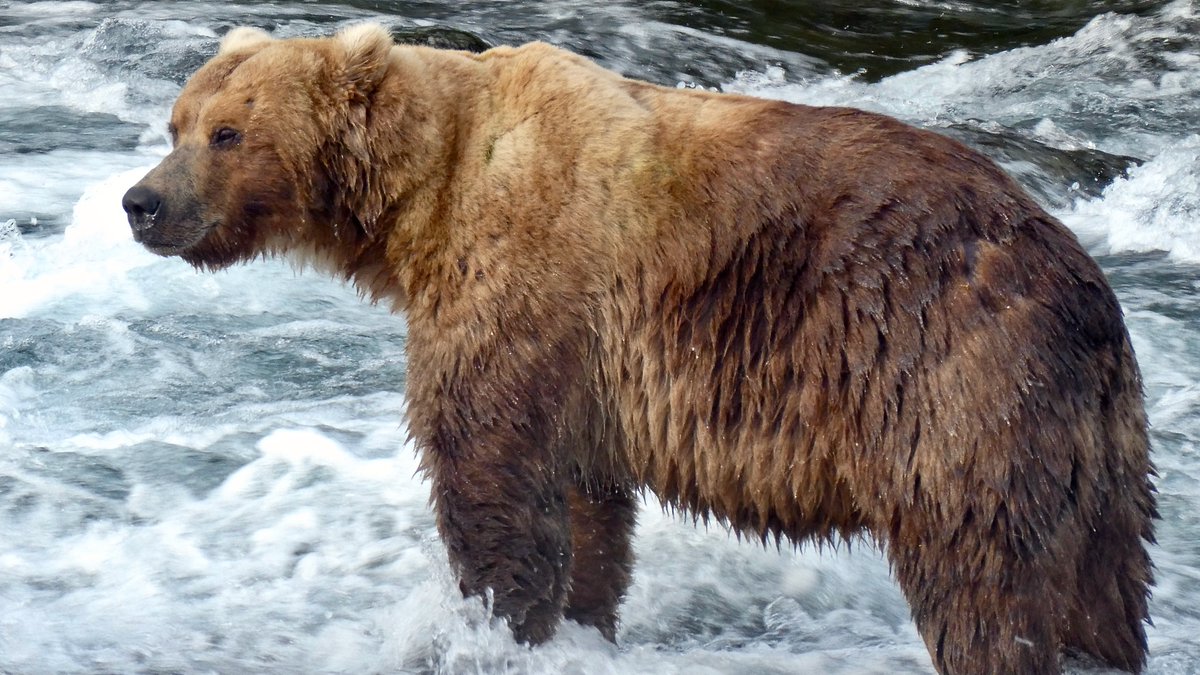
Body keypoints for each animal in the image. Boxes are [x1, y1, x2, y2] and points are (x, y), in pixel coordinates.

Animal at [121, 24, 1157, 674]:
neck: (423, 202)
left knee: (981, 576)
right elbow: (585, 505)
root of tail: (1081, 287)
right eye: (175, 123)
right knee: (1105, 581)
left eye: (227, 132)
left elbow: (490, 476)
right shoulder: (583, 368)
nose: (142, 202)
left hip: (953, 388)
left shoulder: (525, 278)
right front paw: (576, 621)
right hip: (1096, 445)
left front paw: (490, 625)